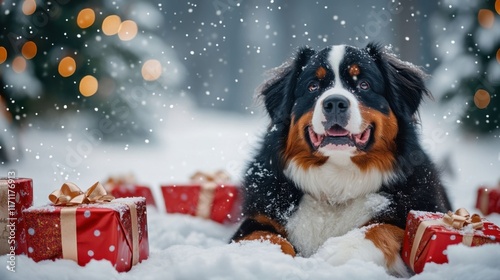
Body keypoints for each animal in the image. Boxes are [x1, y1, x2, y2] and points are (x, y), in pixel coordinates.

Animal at [232, 43, 452, 276]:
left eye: (364, 84)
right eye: (313, 86)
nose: (335, 102)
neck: (336, 186)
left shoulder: (416, 215)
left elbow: (382, 226)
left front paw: (339, 251)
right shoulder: (258, 219)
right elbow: (264, 235)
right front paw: (264, 256)